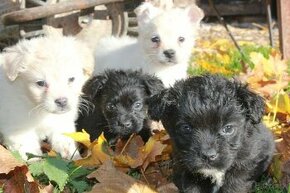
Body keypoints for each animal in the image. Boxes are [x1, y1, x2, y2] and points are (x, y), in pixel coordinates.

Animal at [0, 27, 94, 160]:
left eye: (71, 79)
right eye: (41, 83)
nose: (62, 101)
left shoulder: (62, 123)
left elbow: (66, 142)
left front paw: (75, 159)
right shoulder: (19, 129)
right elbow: (28, 150)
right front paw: (34, 163)